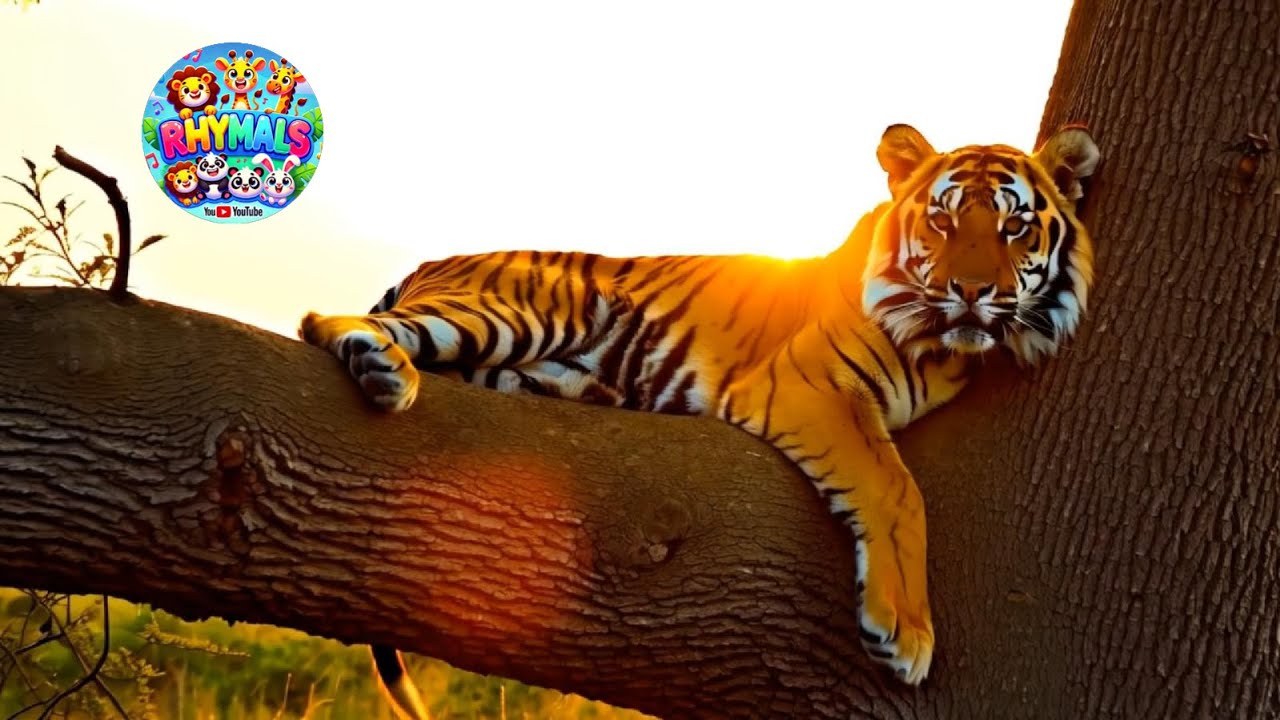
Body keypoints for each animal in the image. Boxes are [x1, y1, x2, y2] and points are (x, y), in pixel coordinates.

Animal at [299, 123, 1100, 719]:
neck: (941, 343)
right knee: (319, 321)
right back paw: (381, 365)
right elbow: (896, 488)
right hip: (524, 309)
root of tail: (429, 263)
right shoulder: (809, 381)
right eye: (942, 219)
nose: (972, 292)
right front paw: (904, 631)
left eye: (1015, 227)